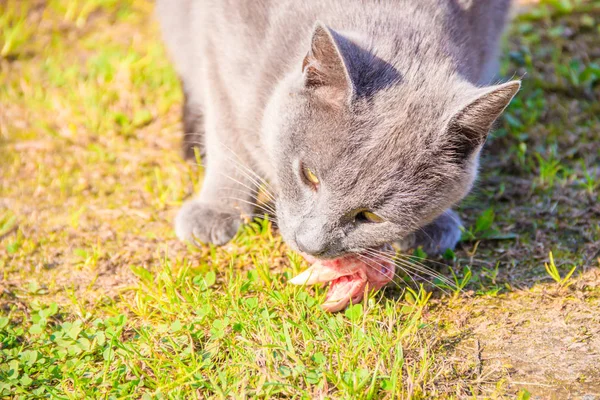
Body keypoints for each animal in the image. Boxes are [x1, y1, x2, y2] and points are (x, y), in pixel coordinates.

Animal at [157, 0, 516, 258]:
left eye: (370, 216)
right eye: (309, 176)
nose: (310, 245)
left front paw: (435, 224)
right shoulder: (221, 37)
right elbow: (228, 130)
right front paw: (218, 209)